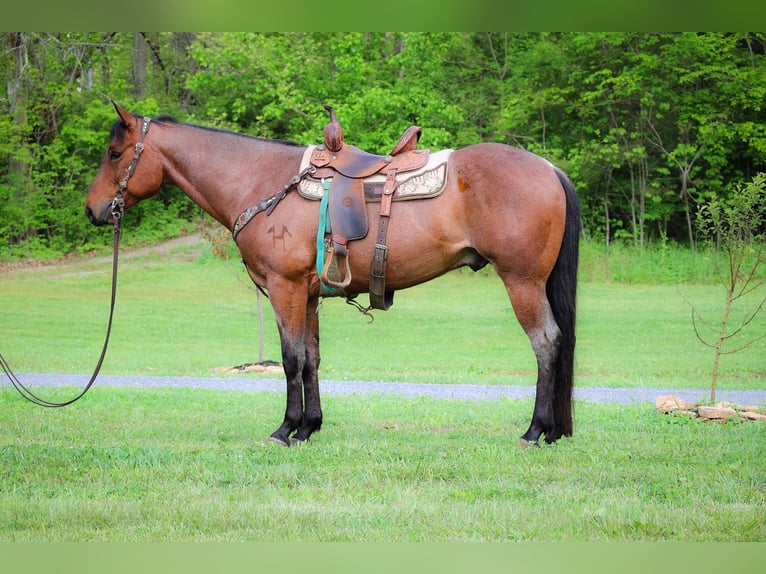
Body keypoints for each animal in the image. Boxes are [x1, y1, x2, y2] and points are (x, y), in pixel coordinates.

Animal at [87, 106, 584, 452]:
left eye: (115, 154)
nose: (93, 210)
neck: (261, 181)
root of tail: (548, 168)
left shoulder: (284, 288)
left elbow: (290, 360)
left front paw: (285, 429)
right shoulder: (307, 295)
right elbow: (311, 359)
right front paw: (310, 427)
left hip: (522, 282)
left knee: (546, 343)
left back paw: (535, 430)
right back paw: (551, 431)